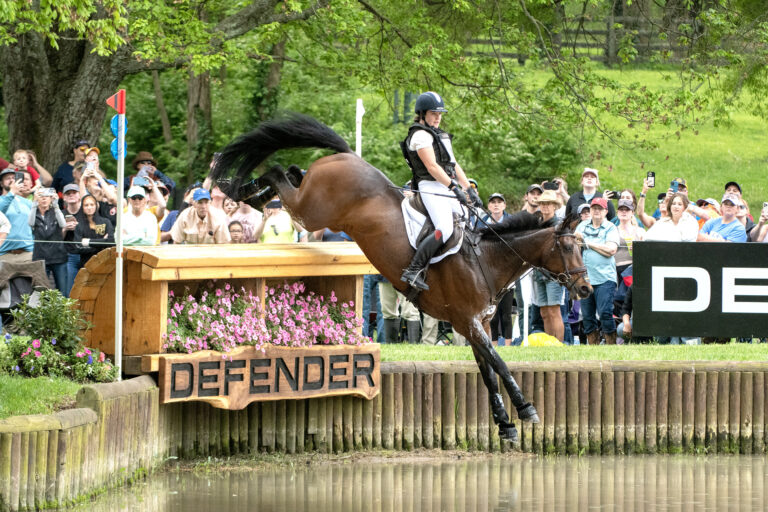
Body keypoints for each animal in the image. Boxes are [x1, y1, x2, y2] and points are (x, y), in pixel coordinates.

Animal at [210, 114, 592, 442]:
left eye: (583, 246)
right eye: (567, 247)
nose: (586, 288)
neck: (486, 259)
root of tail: (349, 156)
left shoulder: (475, 324)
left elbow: (488, 372)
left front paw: (505, 424)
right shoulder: (467, 321)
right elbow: (498, 363)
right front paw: (525, 410)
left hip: (311, 209)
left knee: (291, 172)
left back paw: (251, 194)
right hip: (312, 211)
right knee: (280, 172)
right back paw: (244, 190)